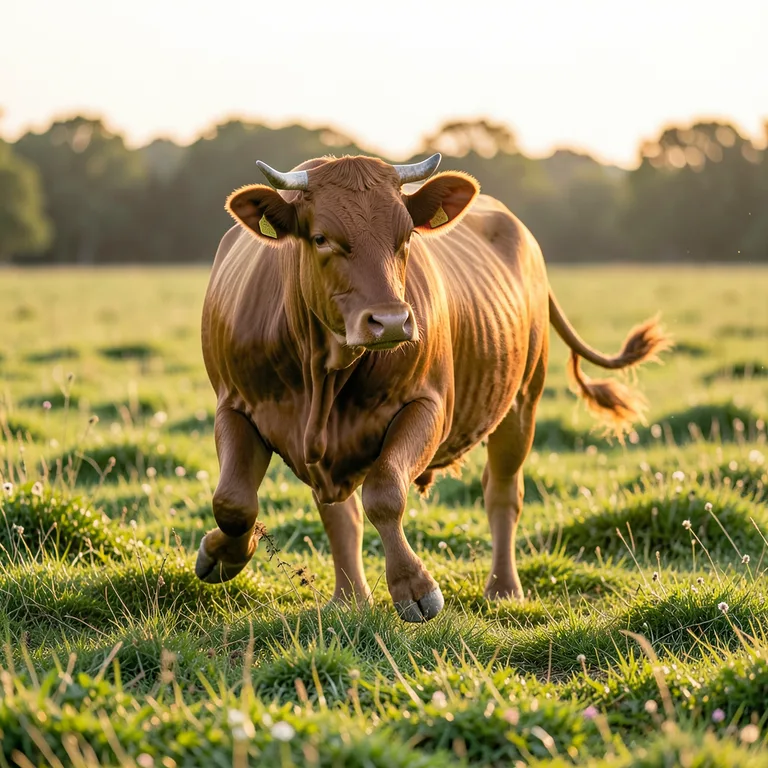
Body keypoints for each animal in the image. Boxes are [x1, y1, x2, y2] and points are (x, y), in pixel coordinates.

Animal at [196, 152, 671, 622]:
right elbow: (234, 500)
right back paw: (348, 598)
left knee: (502, 492)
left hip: (522, 401)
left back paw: (503, 589)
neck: (322, 375)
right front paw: (222, 555)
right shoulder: (234, 406)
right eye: (320, 238)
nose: (390, 321)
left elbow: (384, 491)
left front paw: (414, 586)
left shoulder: (428, 406)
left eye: (406, 236)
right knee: (339, 513)